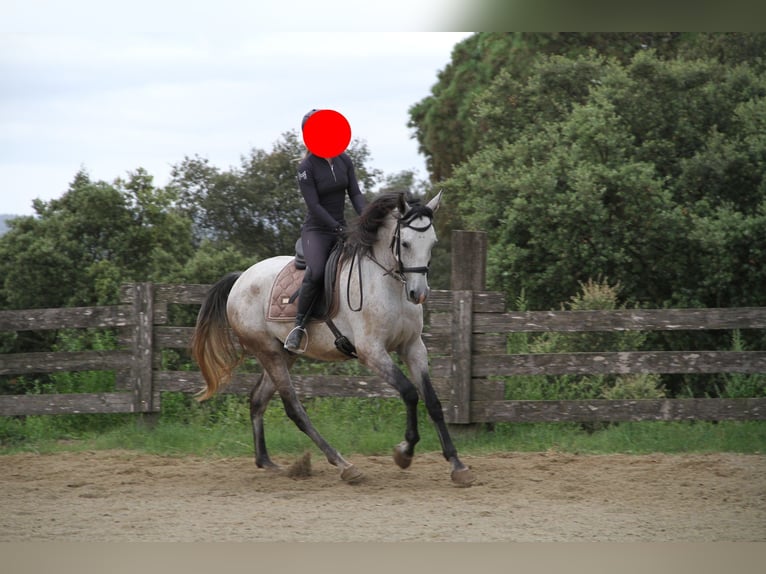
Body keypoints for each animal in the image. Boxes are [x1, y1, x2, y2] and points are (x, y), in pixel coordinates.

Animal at [190, 192, 474, 486]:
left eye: (432, 242)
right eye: (405, 243)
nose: (419, 294)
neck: (388, 285)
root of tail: (241, 278)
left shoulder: (413, 347)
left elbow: (433, 401)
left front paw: (457, 465)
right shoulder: (372, 351)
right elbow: (409, 393)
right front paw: (404, 453)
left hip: (282, 354)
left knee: (258, 399)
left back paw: (266, 462)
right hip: (268, 352)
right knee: (294, 409)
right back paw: (344, 465)